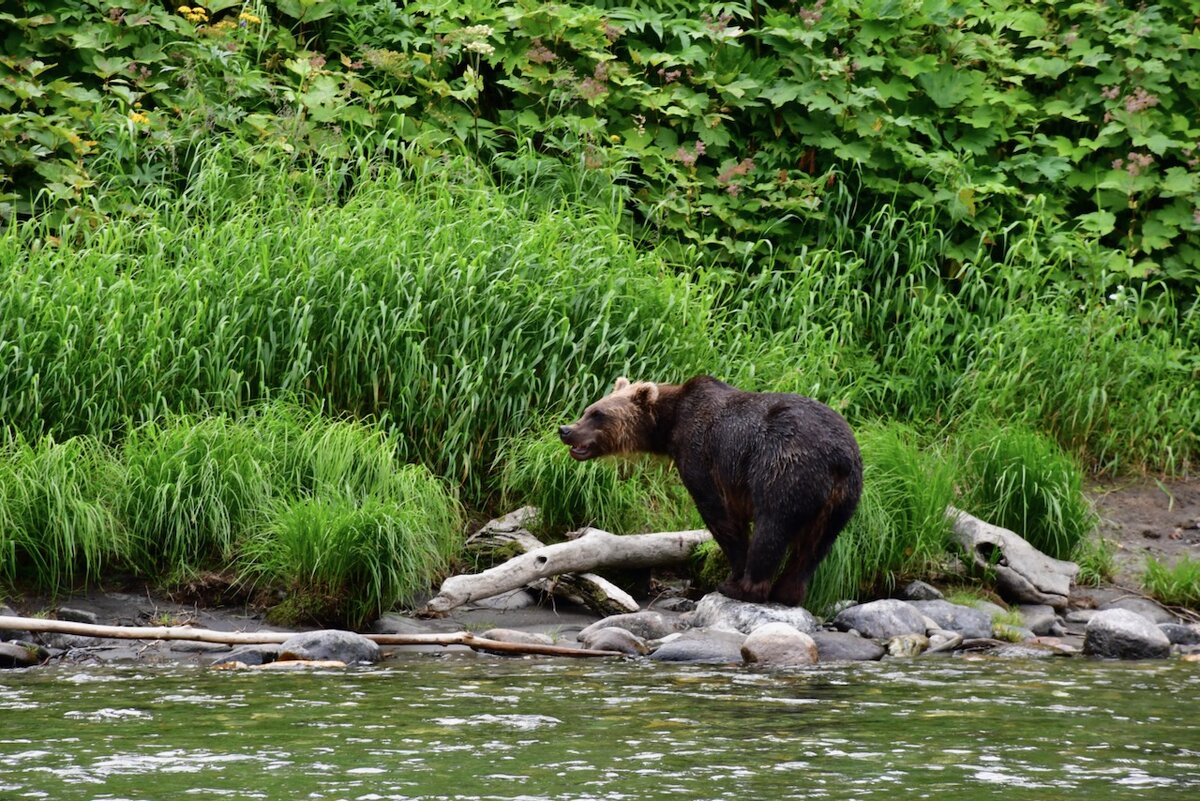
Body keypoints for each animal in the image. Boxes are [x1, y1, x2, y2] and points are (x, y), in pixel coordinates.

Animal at [561, 376, 864, 606]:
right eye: (588, 409)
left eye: (598, 414)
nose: (566, 429)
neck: (669, 425)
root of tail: (838, 457)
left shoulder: (703, 456)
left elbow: (719, 515)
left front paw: (732, 574)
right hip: (842, 498)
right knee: (816, 544)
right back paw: (788, 593)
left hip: (784, 467)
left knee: (772, 527)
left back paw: (744, 589)